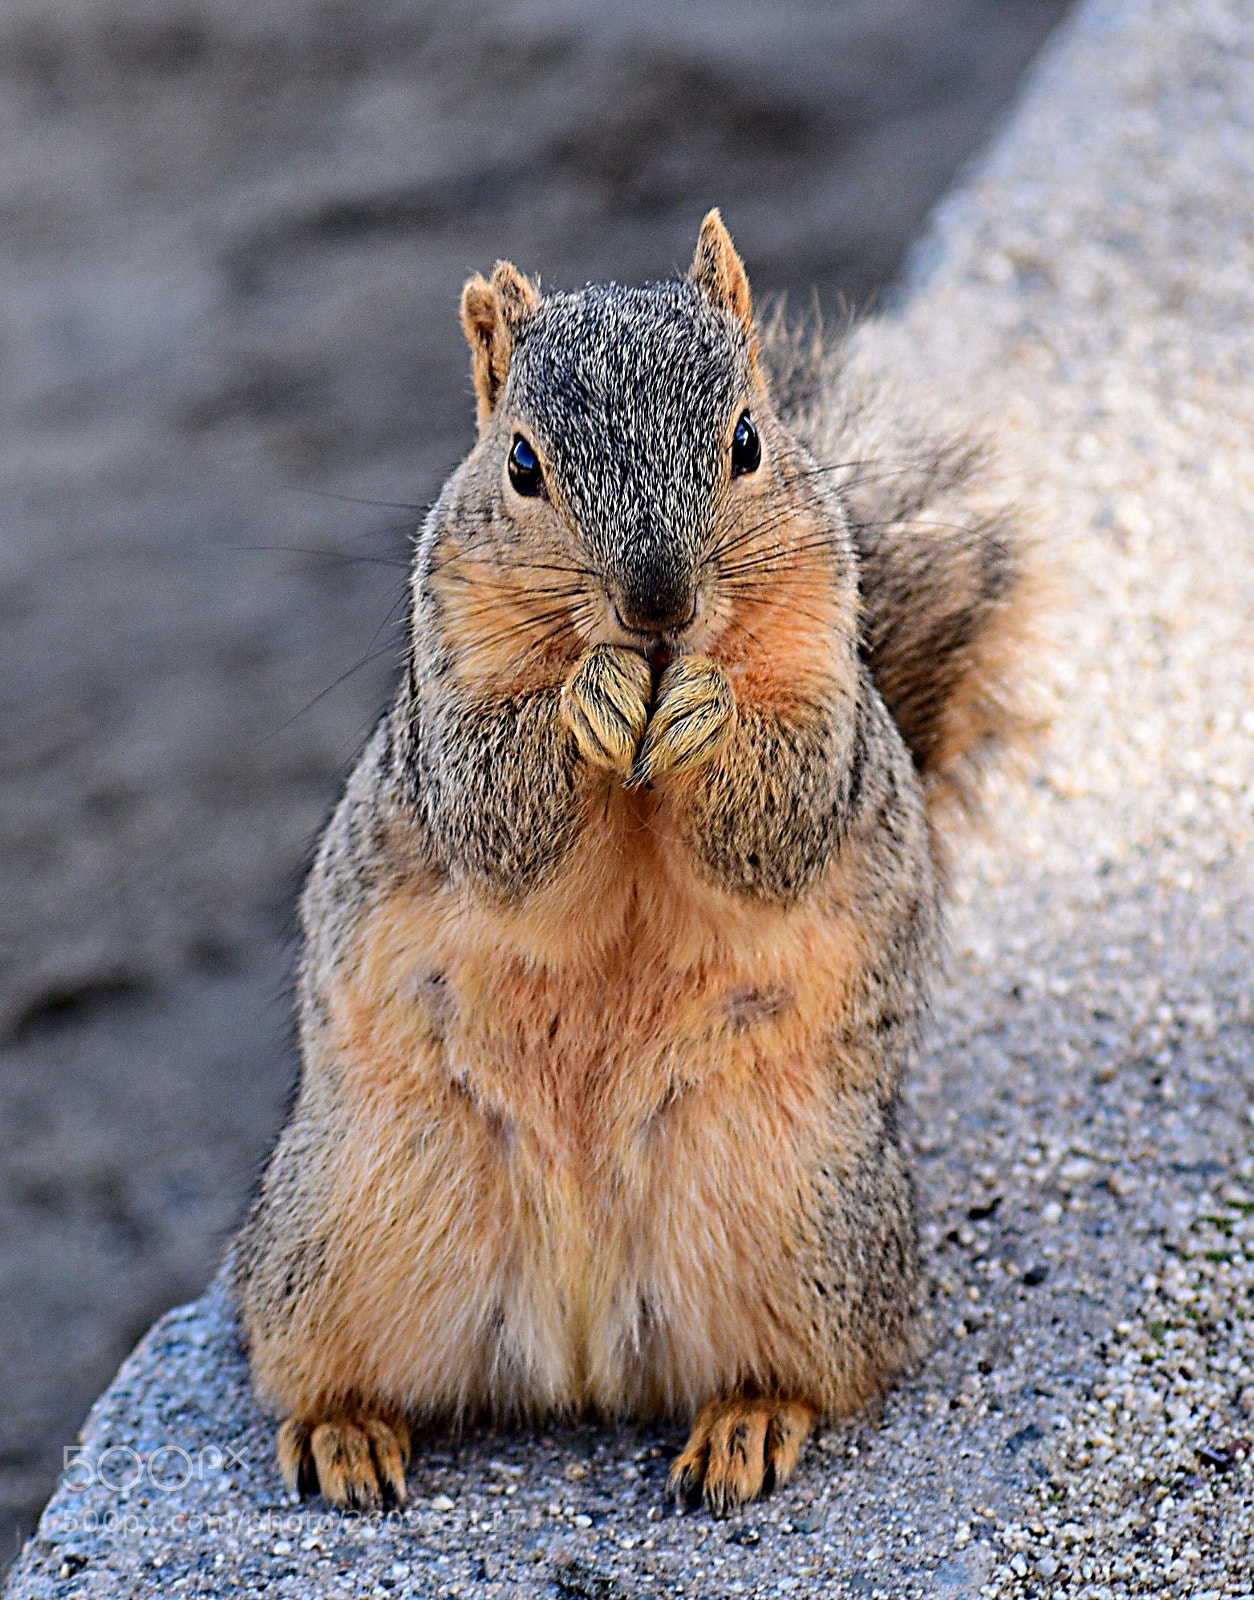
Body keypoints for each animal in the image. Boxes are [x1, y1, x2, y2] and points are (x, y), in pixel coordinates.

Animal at [233, 211, 1033, 1514]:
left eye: (747, 439)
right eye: (520, 464)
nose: (657, 603)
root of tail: (578, 1343)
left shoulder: (830, 692)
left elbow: (782, 818)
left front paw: (704, 706)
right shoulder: (449, 703)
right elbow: (497, 816)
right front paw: (589, 698)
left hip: (805, 1213)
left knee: (816, 1368)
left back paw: (748, 1420)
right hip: (338, 1219)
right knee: (315, 1358)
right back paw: (345, 1431)